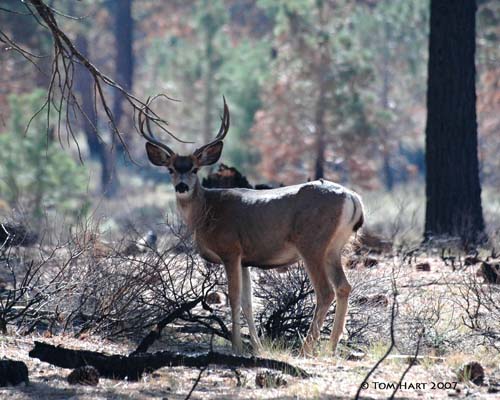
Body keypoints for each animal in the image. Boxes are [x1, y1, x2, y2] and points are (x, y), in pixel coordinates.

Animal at [141, 98, 364, 354]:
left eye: (195, 169)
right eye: (171, 169)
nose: (182, 186)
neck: (207, 211)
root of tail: (353, 198)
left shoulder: (230, 250)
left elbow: (233, 298)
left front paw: (237, 345)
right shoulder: (245, 259)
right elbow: (248, 302)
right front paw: (256, 346)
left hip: (312, 243)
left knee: (325, 291)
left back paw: (305, 349)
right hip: (334, 248)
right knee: (343, 287)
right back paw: (330, 348)